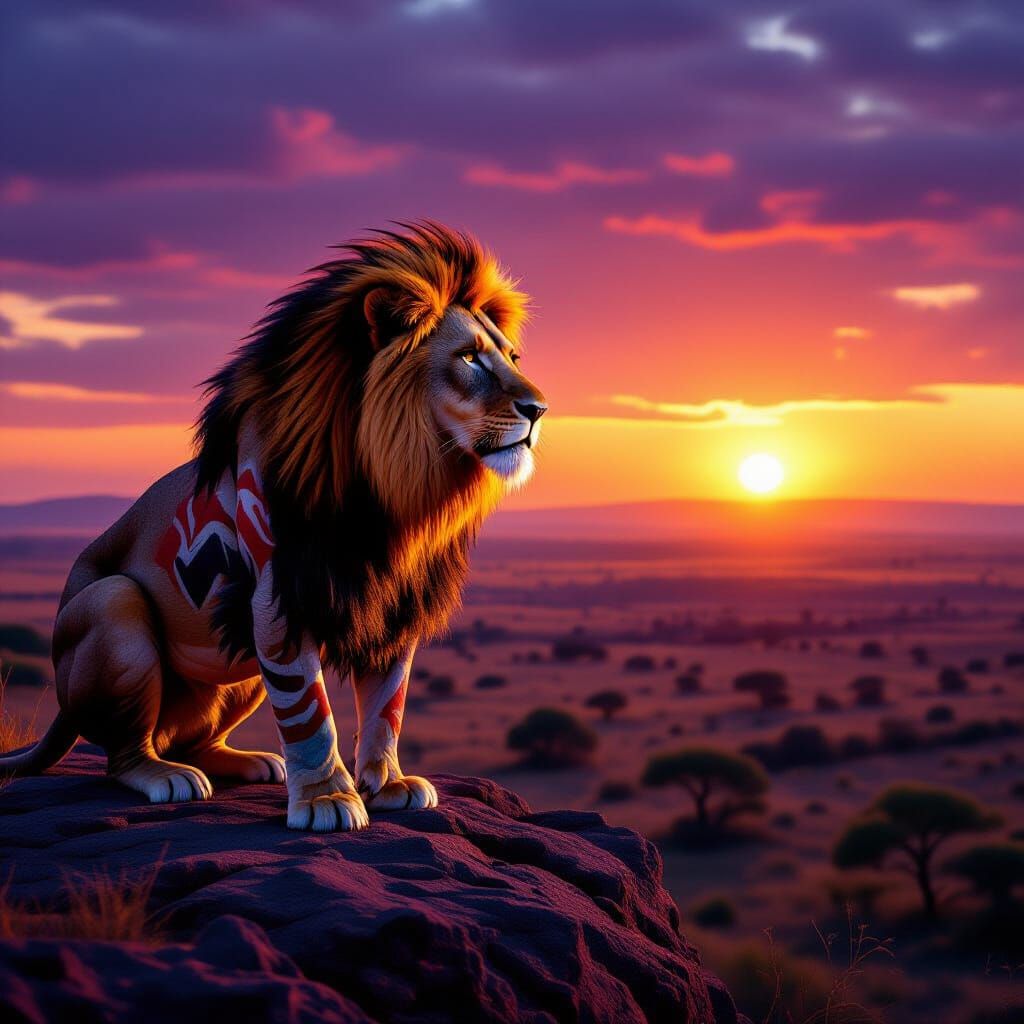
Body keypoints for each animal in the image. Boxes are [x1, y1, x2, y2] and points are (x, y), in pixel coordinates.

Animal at [1, 221, 547, 832]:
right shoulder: (279, 597)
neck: (398, 489)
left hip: (235, 672)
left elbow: (388, 703)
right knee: (124, 752)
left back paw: (248, 762)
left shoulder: (396, 600)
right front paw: (327, 799)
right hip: (115, 606)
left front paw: (388, 784)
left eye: (512, 356)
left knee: (186, 738)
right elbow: (310, 714)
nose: (539, 408)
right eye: (470, 358)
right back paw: (166, 776)